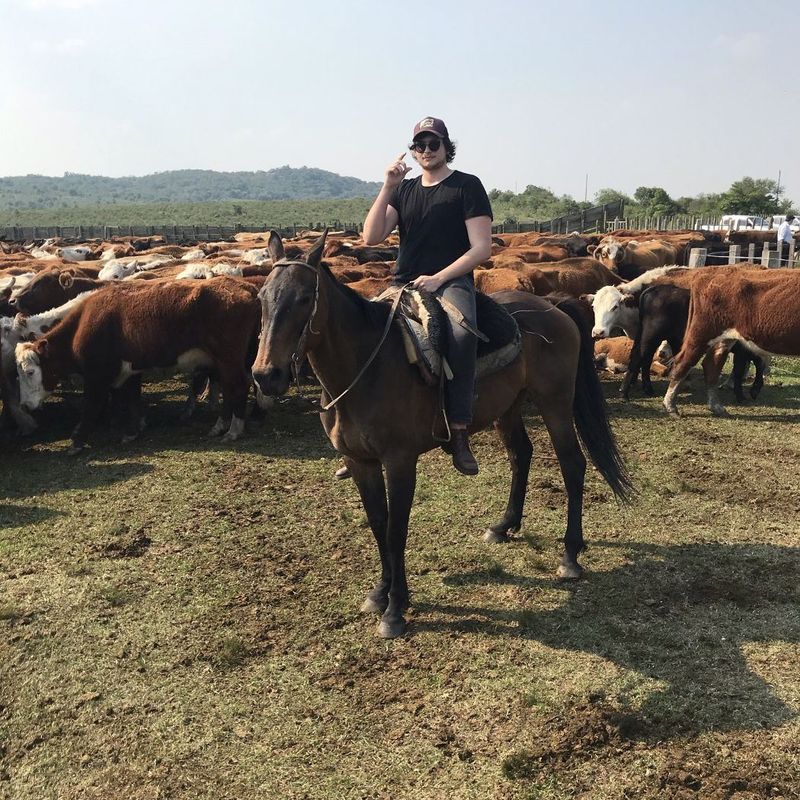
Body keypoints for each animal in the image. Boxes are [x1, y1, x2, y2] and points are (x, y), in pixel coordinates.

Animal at [253, 230, 636, 636]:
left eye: (304, 298)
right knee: (522, 455)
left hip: (556, 403)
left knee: (572, 464)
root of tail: (552, 306)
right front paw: (382, 592)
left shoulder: (400, 461)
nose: (266, 375)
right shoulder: (359, 462)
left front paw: (395, 608)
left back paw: (570, 554)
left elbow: (396, 529)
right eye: (262, 297)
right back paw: (504, 525)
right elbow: (378, 524)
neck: (365, 368)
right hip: (509, 408)